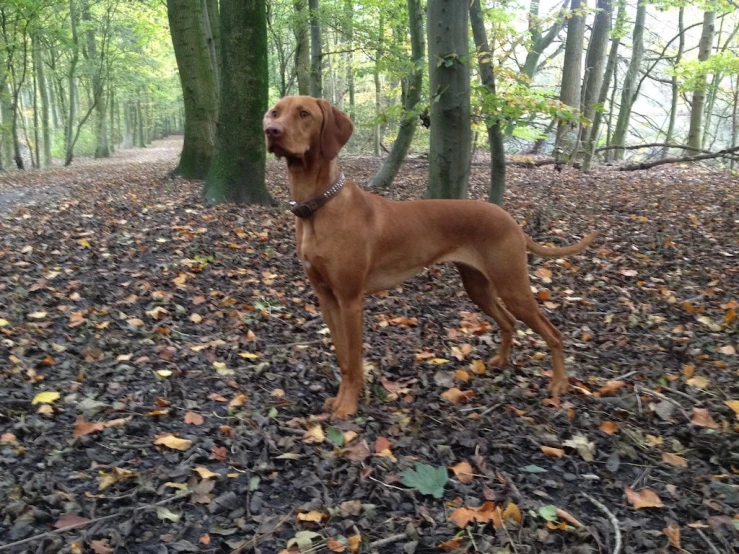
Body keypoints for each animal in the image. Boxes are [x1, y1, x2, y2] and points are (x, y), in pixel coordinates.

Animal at [264, 95, 600, 416]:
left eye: (304, 114)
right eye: (274, 112)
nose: (271, 131)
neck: (317, 207)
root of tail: (510, 220)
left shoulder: (350, 299)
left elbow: (356, 361)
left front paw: (348, 406)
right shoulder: (326, 297)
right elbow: (344, 358)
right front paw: (339, 400)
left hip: (512, 285)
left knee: (553, 332)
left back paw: (559, 384)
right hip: (477, 286)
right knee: (508, 322)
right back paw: (501, 361)